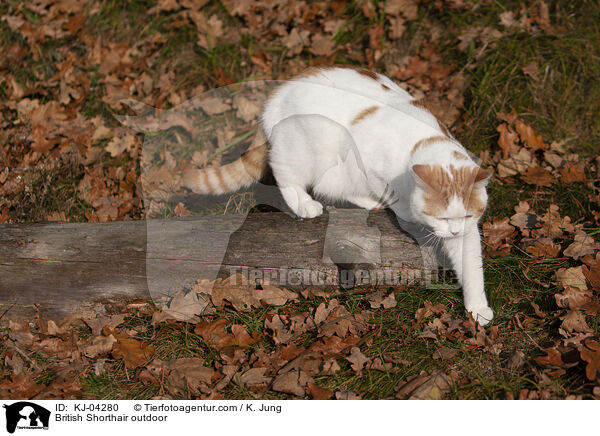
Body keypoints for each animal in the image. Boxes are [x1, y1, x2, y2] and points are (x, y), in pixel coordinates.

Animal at [185, 64, 494, 324]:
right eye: (440, 217)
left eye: (467, 216)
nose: (453, 231)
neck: (424, 142)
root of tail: (276, 95)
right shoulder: (368, 162)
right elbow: (394, 197)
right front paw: (405, 211)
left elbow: (471, 266)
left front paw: (477, 307)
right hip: (316, 143)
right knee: (289, 172)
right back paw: (305, 203)